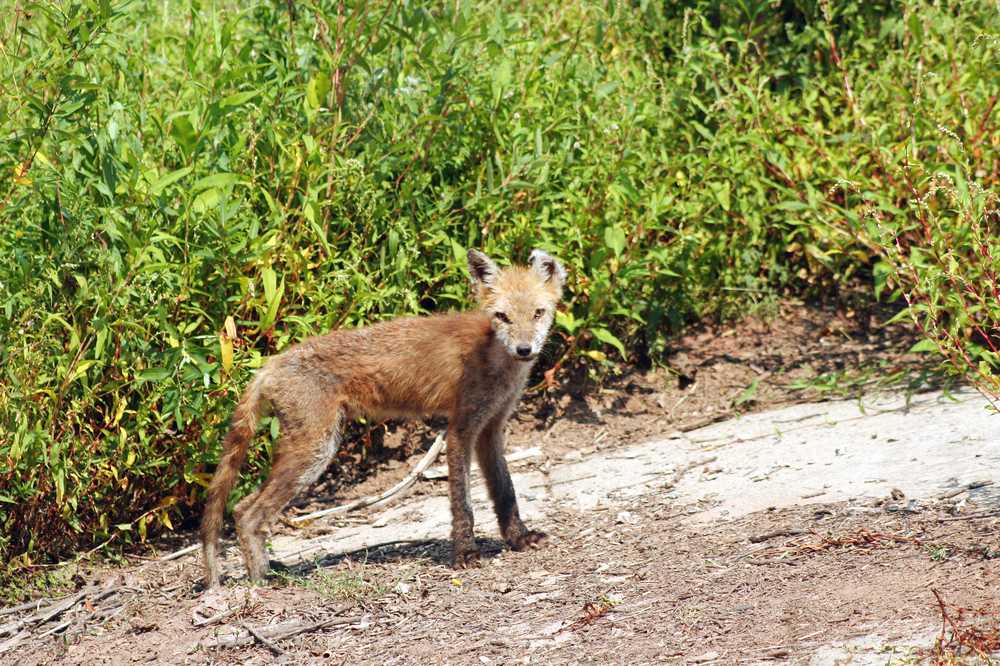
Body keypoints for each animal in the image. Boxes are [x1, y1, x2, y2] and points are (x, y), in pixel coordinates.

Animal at [199, 246, 568, 584]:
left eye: (538, 313)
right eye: (503, 316)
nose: (524, 349)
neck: (493, 356)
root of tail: (269, 365)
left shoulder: (491, 428)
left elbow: (506, 491)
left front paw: (519, 538)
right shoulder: (460, 429)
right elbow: (462, 501)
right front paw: (465, 553)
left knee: (242, 508)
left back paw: (269, 570)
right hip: (314, 453)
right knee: (246, 513)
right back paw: (260, 580)